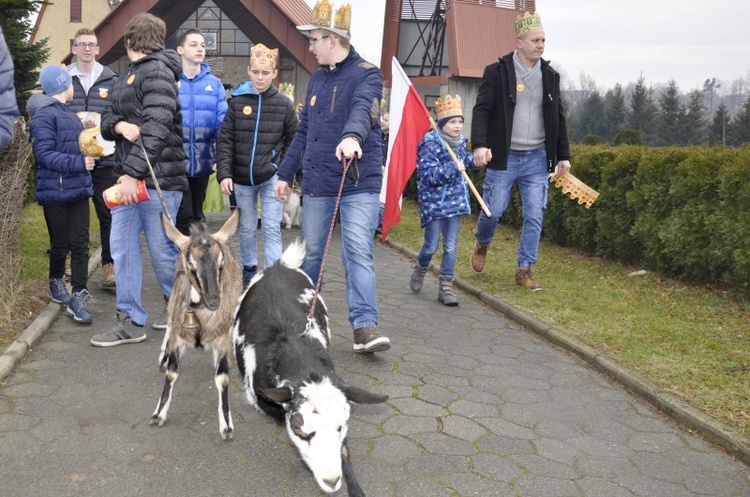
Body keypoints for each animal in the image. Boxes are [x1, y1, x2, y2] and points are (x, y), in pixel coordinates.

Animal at [152, 208, 245, 438]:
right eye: (191, 265)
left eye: (221, 263)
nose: (213, 300)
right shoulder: (178, 336)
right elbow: (171, 372)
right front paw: (159, 413)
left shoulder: (223, 339)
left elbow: (222, 377)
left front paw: (226, 425)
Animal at [234, 239, 388, 492]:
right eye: (299, 429)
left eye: (341, 426)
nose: (331, 480)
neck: (295, 351)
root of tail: (281, 265)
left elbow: (344, 452)